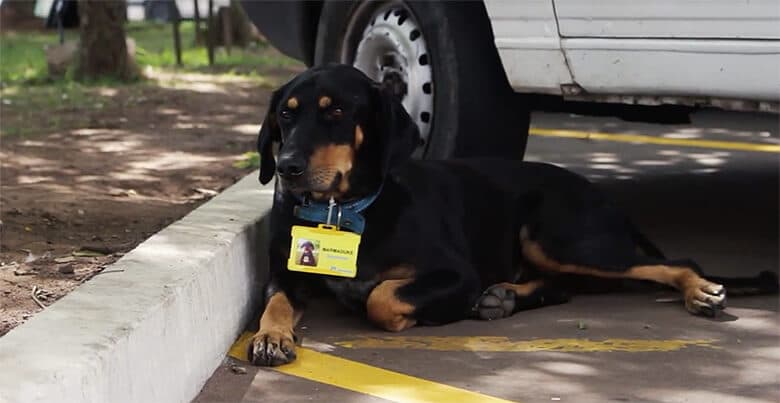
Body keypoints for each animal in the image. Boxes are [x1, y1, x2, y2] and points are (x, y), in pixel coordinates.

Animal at [248, 64, 772, 368]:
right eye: (286, 115)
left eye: (336, 111)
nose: (288, 167)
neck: (342, 211)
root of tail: (600, 194)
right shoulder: (285, 275)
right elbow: (274, 303)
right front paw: (271, 337)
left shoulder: (455, 273)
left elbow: (382, 297)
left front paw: (417, 312)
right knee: (566, 286)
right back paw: (501, 298)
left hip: (558, 236)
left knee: (673, 263)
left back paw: (700, 290)